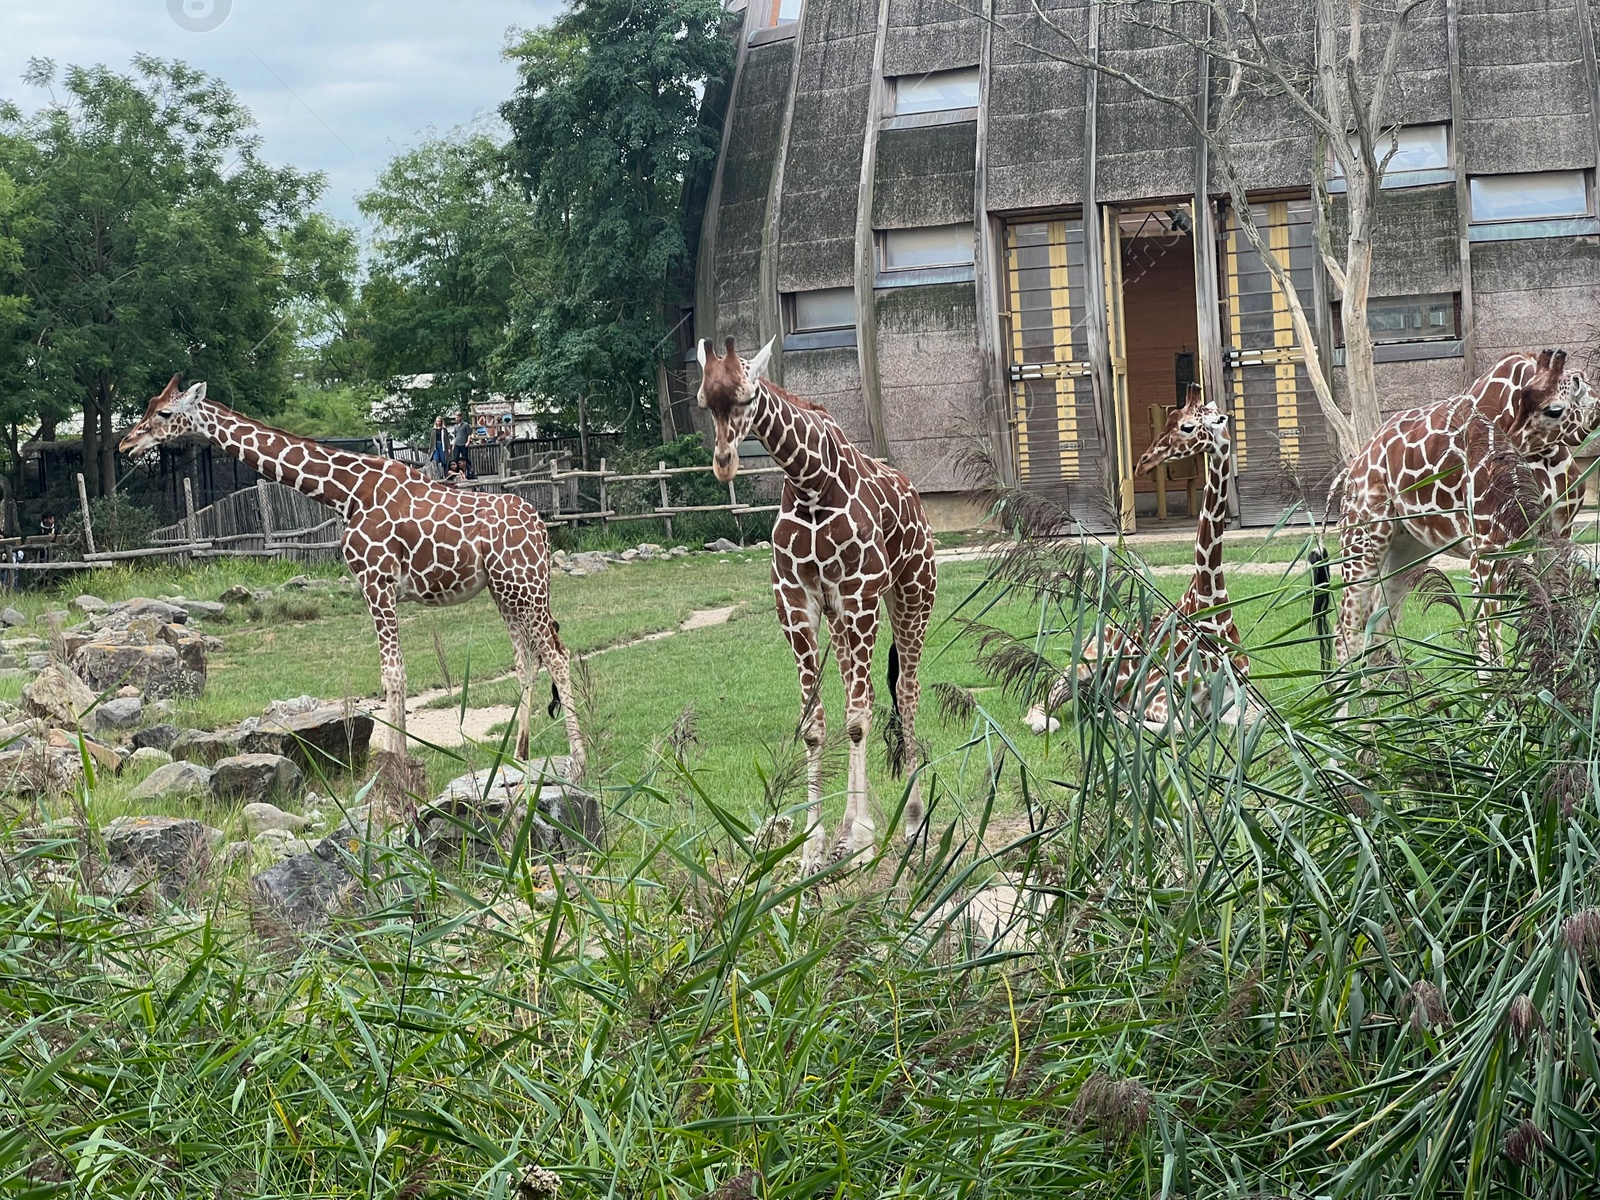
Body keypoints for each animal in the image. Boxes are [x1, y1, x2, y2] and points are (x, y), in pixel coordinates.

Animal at [118, 380, 585, 784]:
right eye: (147, 407)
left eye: (163, 412)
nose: (126, 443)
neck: (346, 493)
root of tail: (542, 530)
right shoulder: (379, 587)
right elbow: (396, 672)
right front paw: (399, 761)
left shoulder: (376, 581)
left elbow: (392, 673)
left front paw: (395, 764)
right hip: (504, 590)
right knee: (527, 659)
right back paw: (519, 756)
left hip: (524, 585)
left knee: (557, 655)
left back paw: (578, 762)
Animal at [691, 339, 934, 876]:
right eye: (702, 402)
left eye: (745, 397)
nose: (723, 463)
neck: (809, 482)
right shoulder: (797, 601)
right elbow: (816, 724)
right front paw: (813, 849)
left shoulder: (860, 592)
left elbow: (859, 720)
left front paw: (862, 840)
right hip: (843, 621)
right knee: (862, 692)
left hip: (911, 593)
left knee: (905, 693)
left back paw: (910, 823)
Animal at [1024, 385, 1248, 739]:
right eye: (1169, 418)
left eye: (1187, 426)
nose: (1143, 463)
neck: (1213, 613)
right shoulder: (1157, 698)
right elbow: (1179, 724)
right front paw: (1112, 715)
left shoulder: (1237, 701)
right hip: (1079, 668)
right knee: (1042, 707)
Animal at [1324, 350, 1574, 668]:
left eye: (1555, 409)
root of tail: (1353, 467)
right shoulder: (1488, 548)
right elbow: (1488, 650)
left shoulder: (1556, 539)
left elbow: (1560, 629)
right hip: (1364, 538)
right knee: (1346, 630)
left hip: (1409, 549)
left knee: (1378, 628)